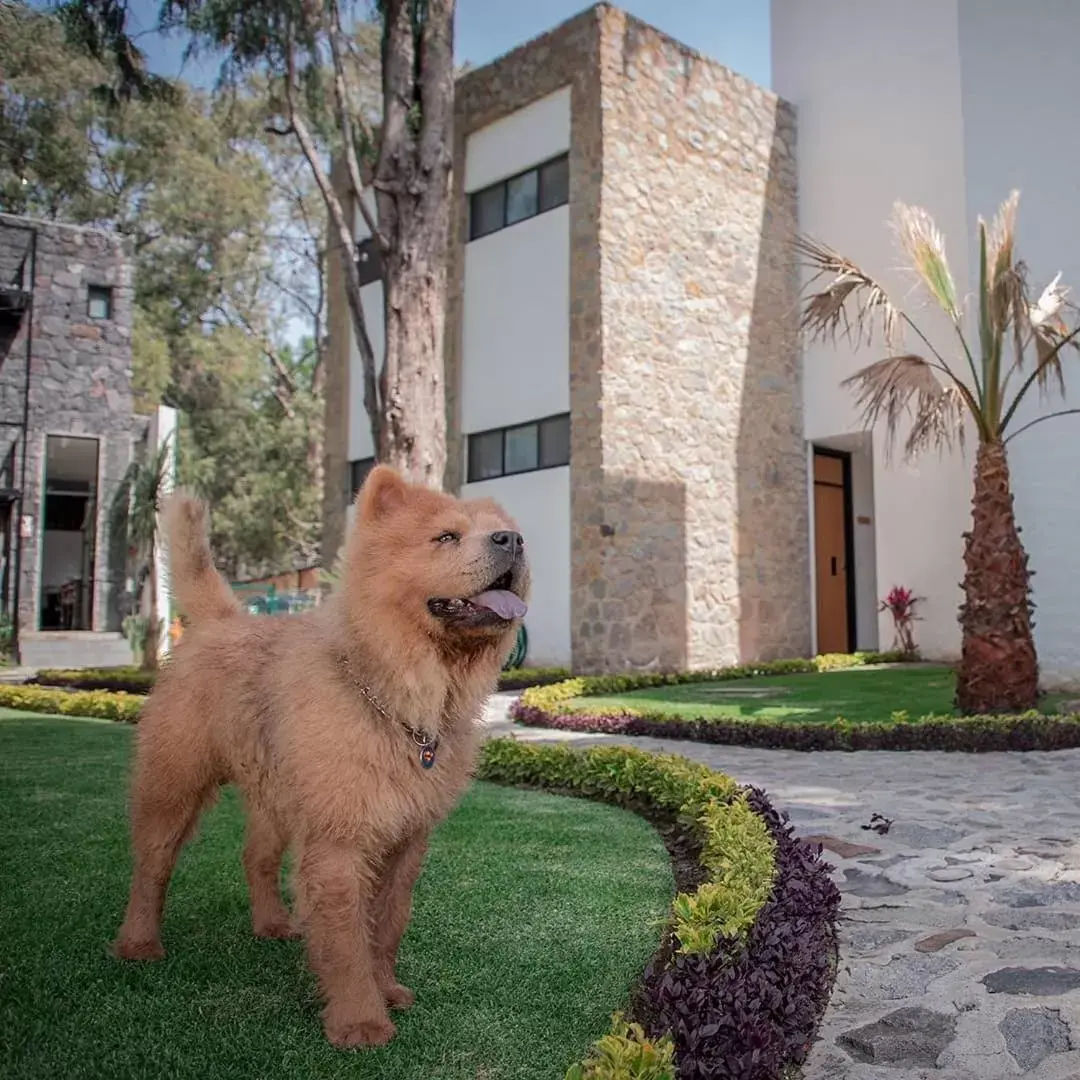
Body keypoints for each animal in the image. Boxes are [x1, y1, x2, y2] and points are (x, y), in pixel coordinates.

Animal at [112, 464, 527, 1045]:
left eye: (504, 532)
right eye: (446, 537)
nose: (512, 541)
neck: (398, 695)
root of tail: (222, 621)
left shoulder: (404, 842)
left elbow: (387, 925)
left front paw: (387, 990)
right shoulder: (339, 842)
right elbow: (346, 938)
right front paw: (360, 1022)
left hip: (274, 798)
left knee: (256, 859)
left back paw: (271, 924)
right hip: (173, 787)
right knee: (151, 866)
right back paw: (138, 943)